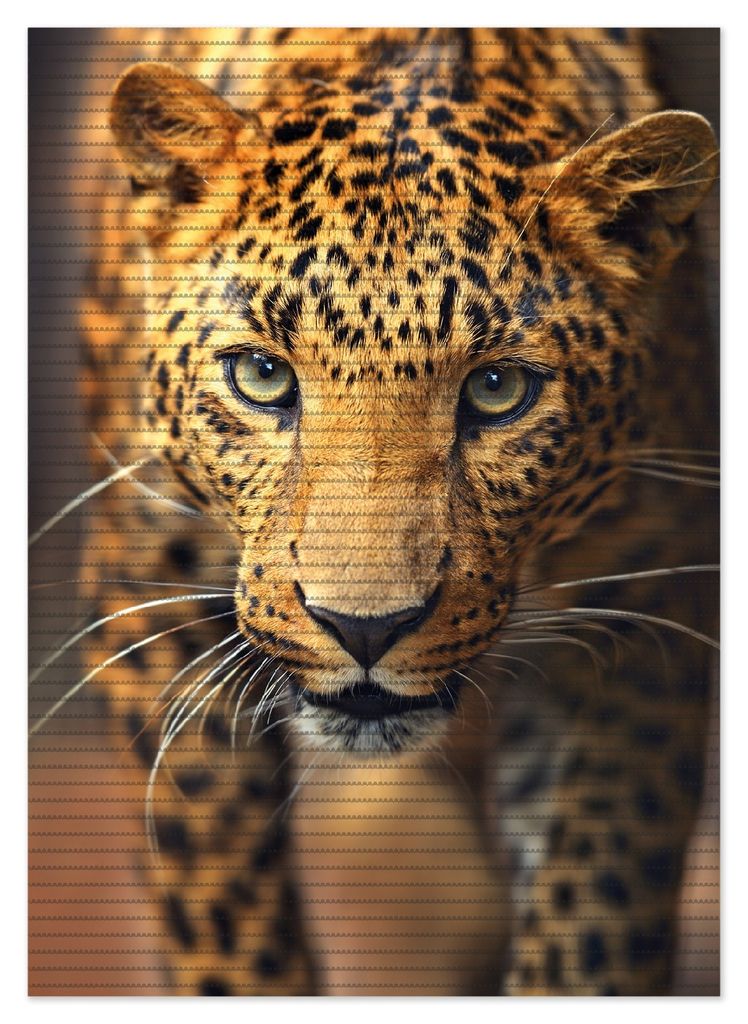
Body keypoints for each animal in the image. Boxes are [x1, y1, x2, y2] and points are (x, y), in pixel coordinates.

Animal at [32, 28, 719, 996]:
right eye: (263, 375)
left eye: (498, 390)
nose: (365, 629)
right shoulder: (148, 586)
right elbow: (226, 923)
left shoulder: (647, 597)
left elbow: (598, 910)